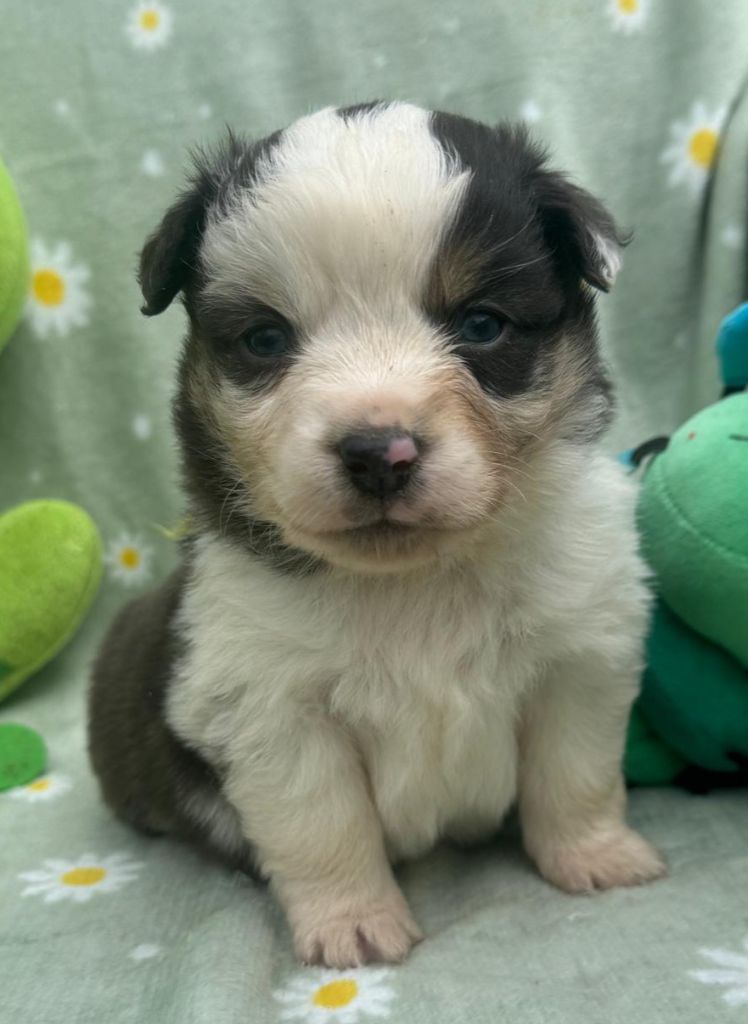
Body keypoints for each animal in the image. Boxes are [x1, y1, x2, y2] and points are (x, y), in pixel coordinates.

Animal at [89, 101, 665, 968]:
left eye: (482, 324)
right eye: (266, 339)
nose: (377, 454)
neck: (418, 581)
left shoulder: (581, 651)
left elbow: (576, 771)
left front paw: (593, 856)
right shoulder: (270, 705)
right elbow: (325, 823)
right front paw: (354, 922)